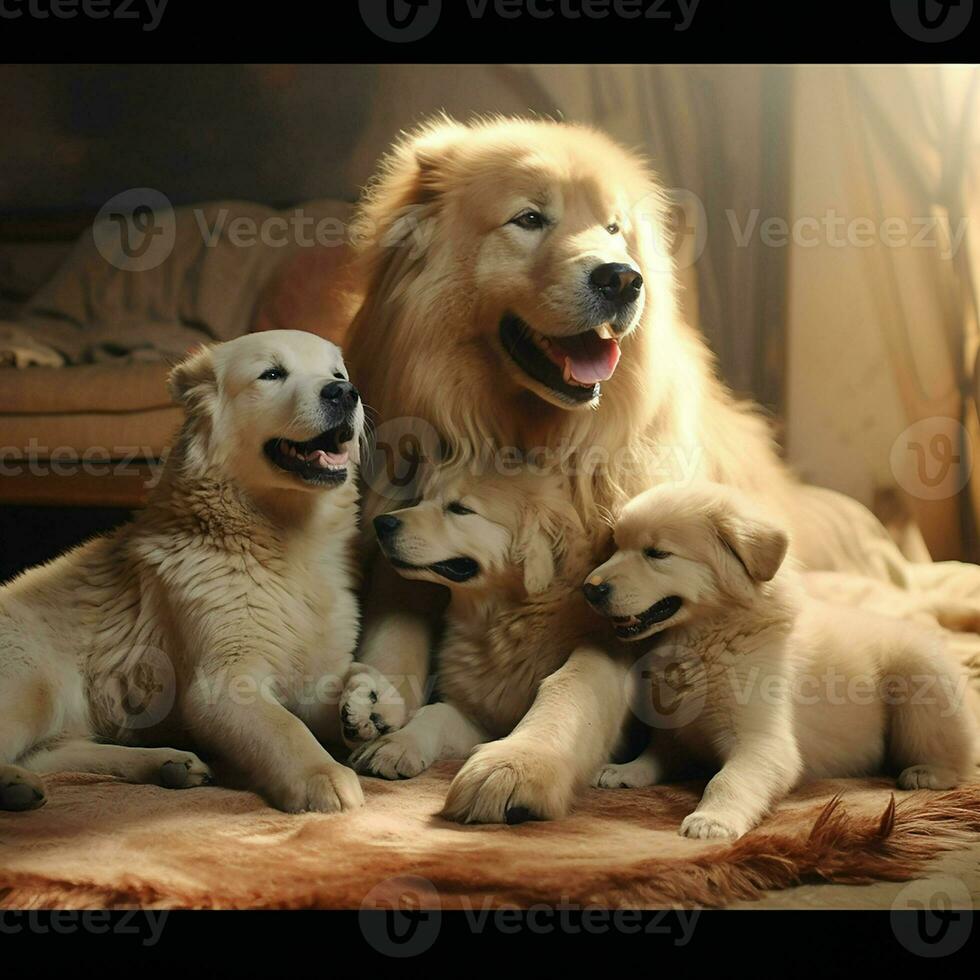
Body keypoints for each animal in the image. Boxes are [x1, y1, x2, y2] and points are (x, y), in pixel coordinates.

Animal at [0, 330, 368, 812]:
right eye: (272, 374)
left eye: (337, 373)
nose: (345, 392)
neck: (287, 546)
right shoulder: (222, 685)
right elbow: (287, 729)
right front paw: (322, 775)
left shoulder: (315, 673)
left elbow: (352, 681)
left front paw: (372, 706)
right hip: (32, 686)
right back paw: (13, 783)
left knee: (48, 753)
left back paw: (165, 764)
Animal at [346, 466, 628, 820]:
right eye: (423, 499)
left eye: (460, 509)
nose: (381, 523)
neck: (501, 622)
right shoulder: (479, 719)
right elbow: (436, 712)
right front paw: (399, 744)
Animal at [584, 482, 976, 844]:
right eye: (616, 545)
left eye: (657, 553)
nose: (589, 589)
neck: (708, 636)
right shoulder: (678, 730)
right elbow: (655, 755)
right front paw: (626, 771)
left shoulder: (762, 741)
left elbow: (726, 780)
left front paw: (712, 820)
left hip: (920, 681)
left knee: (957, 756)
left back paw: (927, 772)